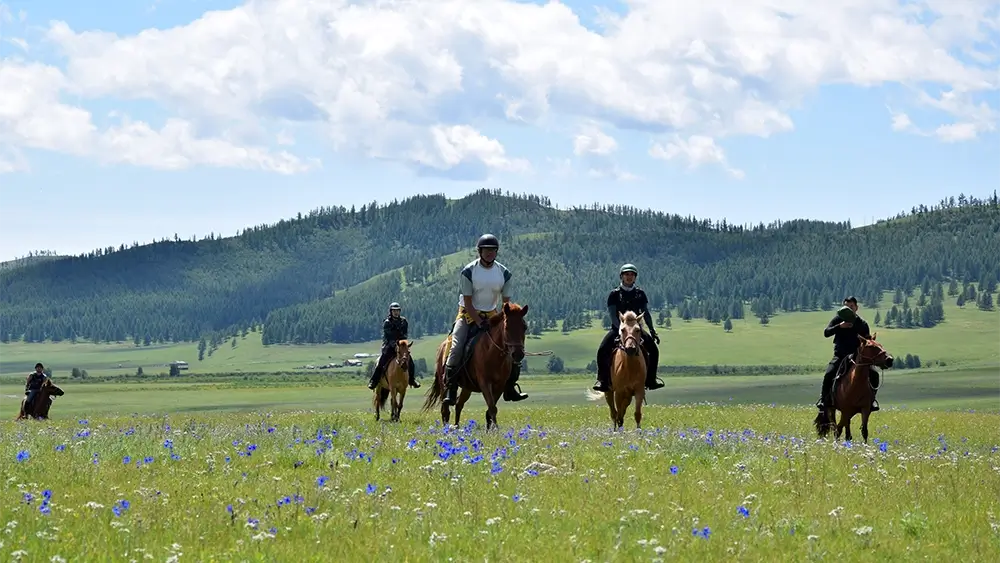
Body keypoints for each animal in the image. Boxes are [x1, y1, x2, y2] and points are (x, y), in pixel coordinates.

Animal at [422, 302, 529, 431]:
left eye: (524, 327)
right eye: (506, 327)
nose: (518, 354)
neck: (492, 352)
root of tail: (441, 348)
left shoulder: (500, 385)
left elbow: (490, 409)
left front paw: (490, 430)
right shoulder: (485, 383)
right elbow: (492, 408)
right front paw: (496, 430)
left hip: (467, 388)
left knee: (459, 405)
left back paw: (457, 427)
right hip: (444, 386)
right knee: (445, 410)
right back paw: (447, 429)